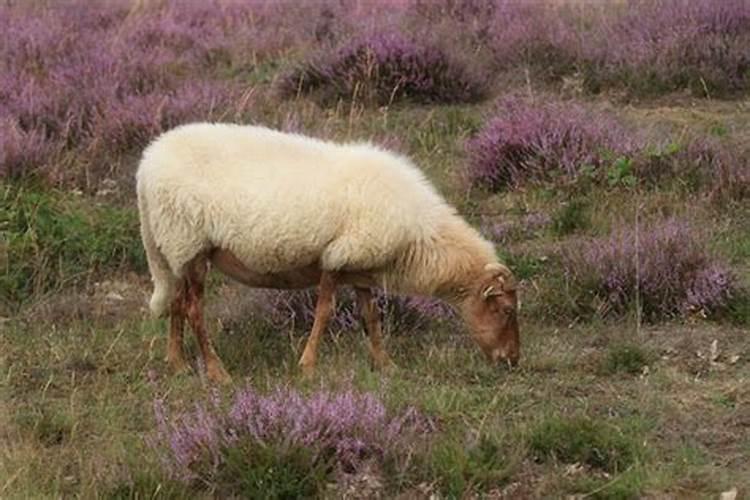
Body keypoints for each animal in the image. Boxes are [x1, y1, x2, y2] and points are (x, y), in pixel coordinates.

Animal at [138, 123, 520, 380]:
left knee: (177, 303)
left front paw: (385, 364)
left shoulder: (362, 267)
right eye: (504, 309)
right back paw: (217, 373)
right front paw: (307, 365)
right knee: (193, 310)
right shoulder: (337, 258)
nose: (512, 361)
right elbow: (325, 311)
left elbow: (371, 317)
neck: (421, 238)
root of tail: (147, 163)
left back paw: (178, 364)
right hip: (189, 242)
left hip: (177, 250)